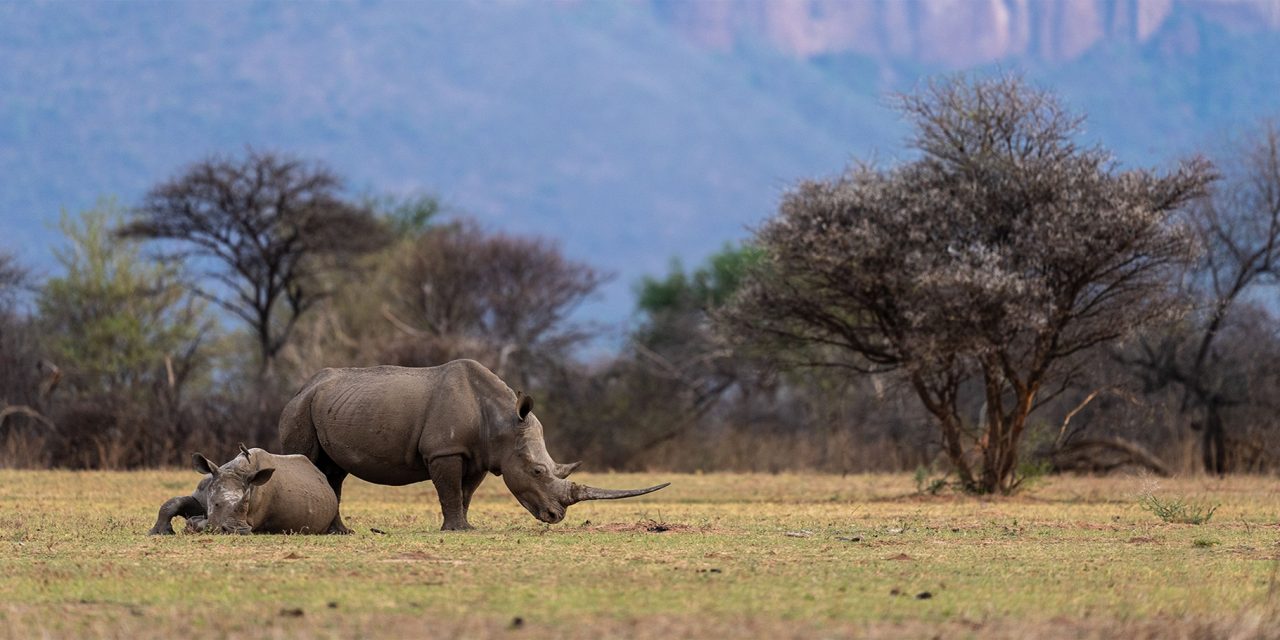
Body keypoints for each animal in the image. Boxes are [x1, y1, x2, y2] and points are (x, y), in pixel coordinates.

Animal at [148, 445, 339, 535]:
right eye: (216, 504)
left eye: (246, 508)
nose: (239, 531)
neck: (235, 470)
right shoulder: (201, 495)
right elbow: (173, 503)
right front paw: (159, 532)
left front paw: (191, 525)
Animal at [278, 360, 669, 531]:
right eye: (537, 471)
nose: (556, 517)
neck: (503, 422)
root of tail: (300, 387)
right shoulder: (444, 450)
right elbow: (449, 490)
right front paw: (457, 531)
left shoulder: (480, 456)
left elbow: (465, 493)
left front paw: (466, 526)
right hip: (300, 408)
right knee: (310, 462)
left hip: (326, 405)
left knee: (334, 473)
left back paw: (341, 532)